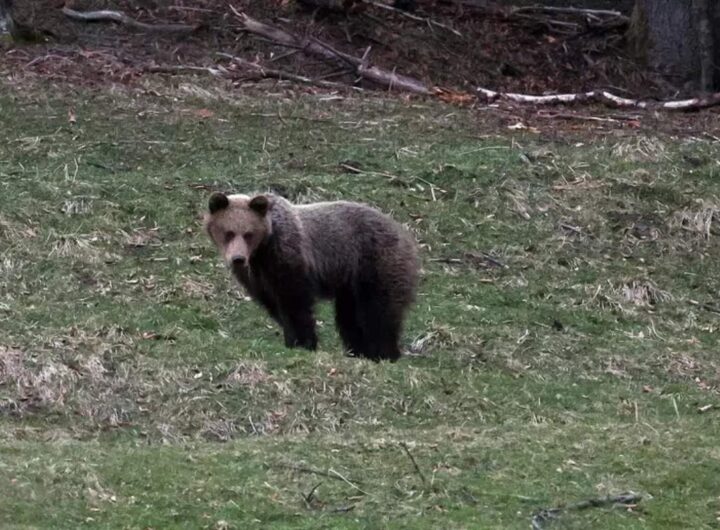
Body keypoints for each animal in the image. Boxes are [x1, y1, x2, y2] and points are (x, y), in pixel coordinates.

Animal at [203, 191, 419, 362]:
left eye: (248, 233)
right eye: (228, 232)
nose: (238, 259)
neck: (261, 252)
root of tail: (405, 233)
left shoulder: (289, 258)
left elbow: (296, 303)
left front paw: (304, 342)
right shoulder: (257, 279)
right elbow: (275, 306)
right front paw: (292, 339)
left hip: (375, 263)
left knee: (379, 311)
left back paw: (385, 353)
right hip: (348, 284)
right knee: (350, 318)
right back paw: (359, 351)